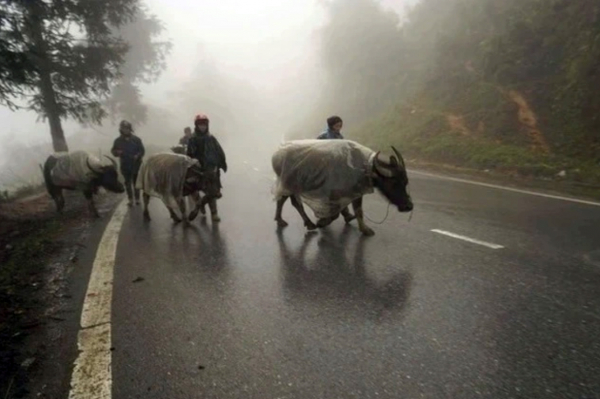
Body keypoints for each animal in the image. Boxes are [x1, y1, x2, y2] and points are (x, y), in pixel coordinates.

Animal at [272, 140, 412, 236]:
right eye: (394, 183)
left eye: (405, 182)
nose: (409, 206)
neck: (363, 168)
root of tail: (277, 154)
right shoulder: (333, 193)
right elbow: (335, 213)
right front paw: (322, 222)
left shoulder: (355, 192)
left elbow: (358, 210)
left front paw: (364, 229)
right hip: (289, 184)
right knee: (292, 202)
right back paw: (308, 223)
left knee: (283, 200)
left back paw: (282, 220)